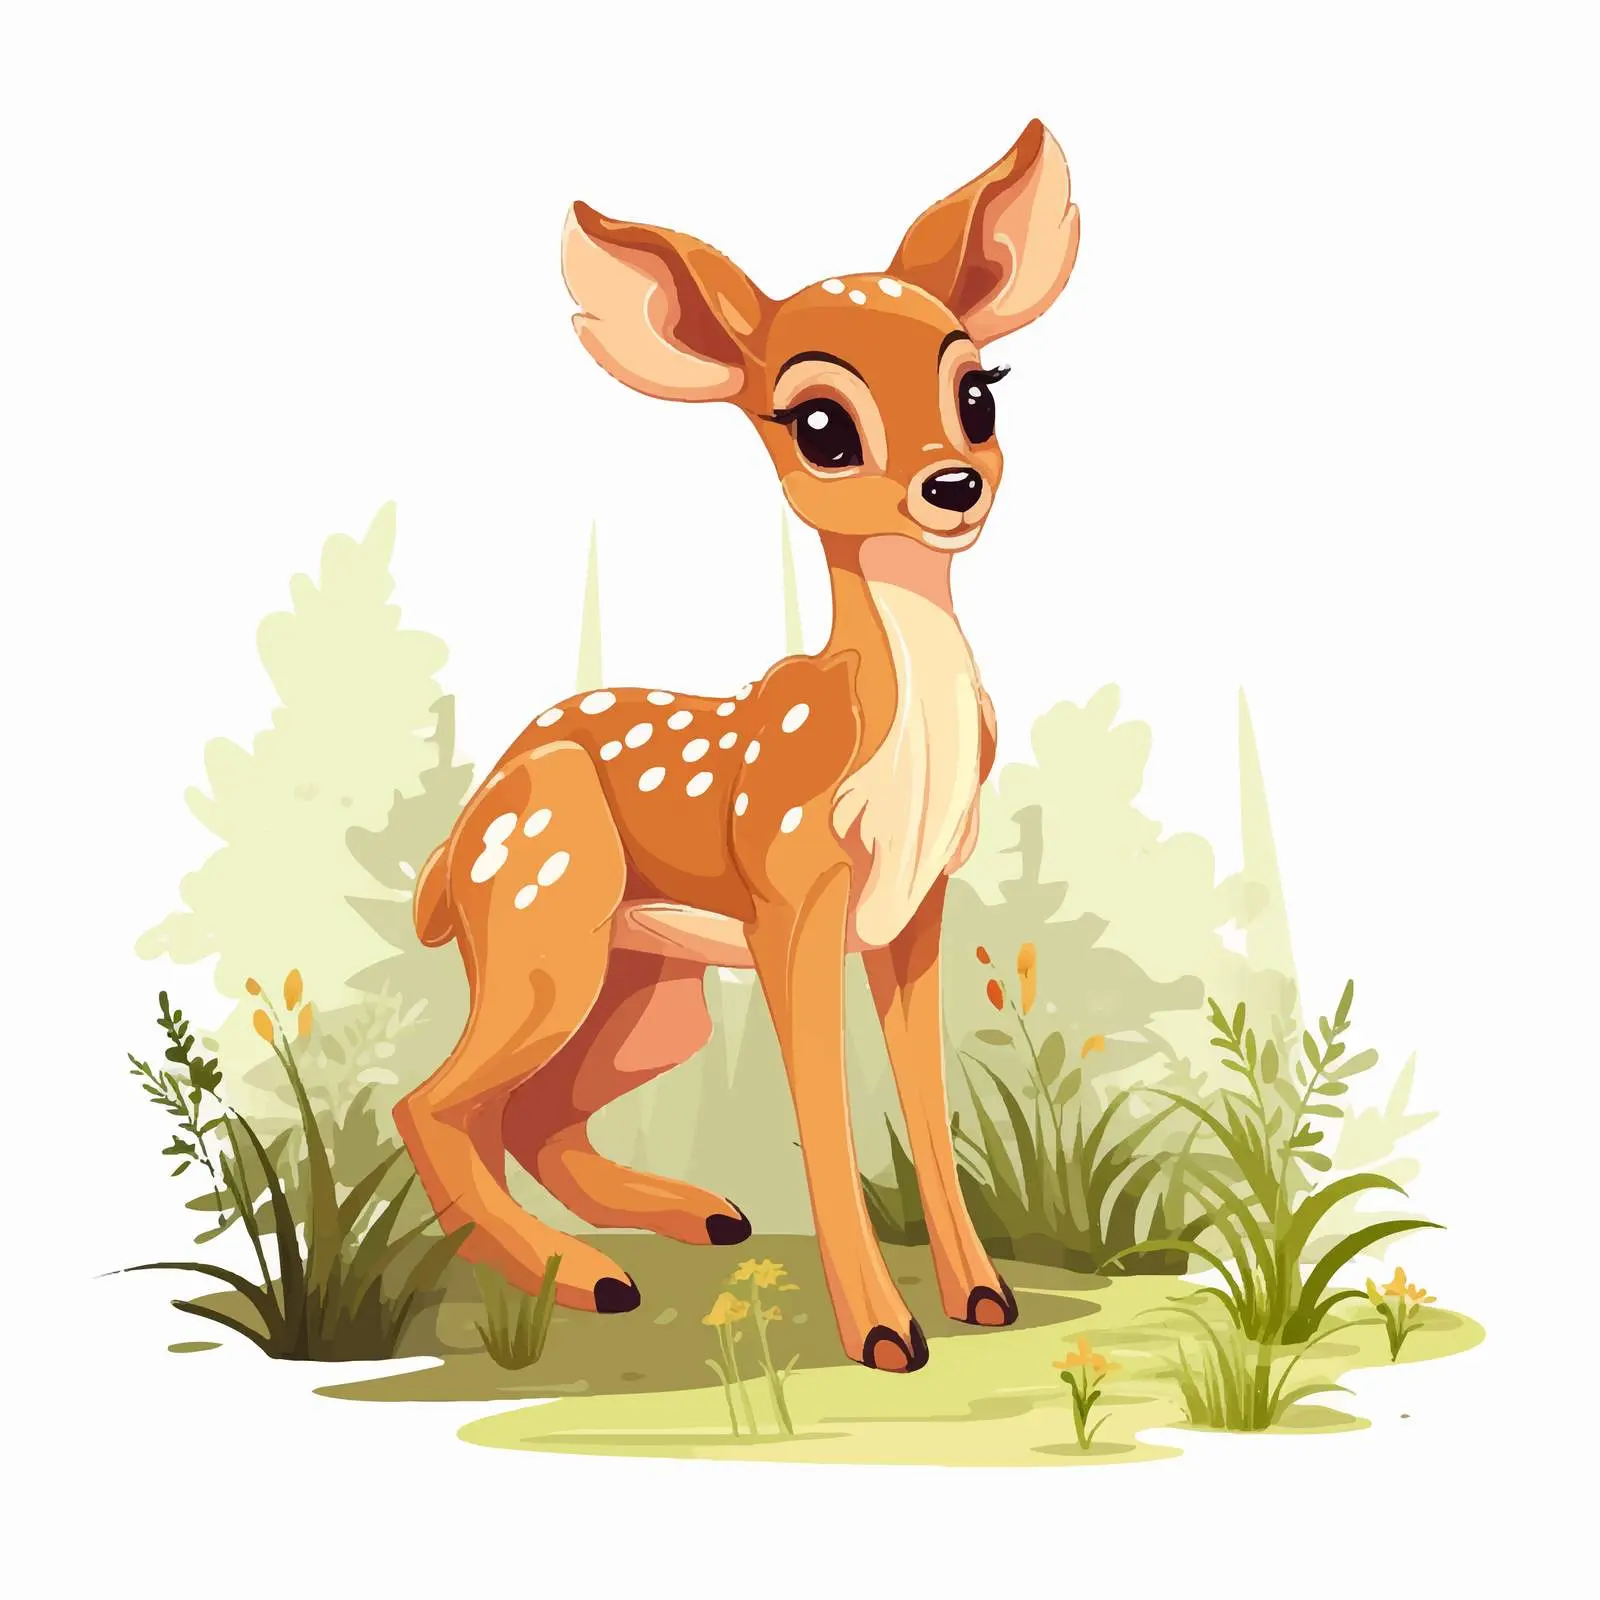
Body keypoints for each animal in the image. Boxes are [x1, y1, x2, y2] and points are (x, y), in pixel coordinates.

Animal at [395, 120, 1080, 1373]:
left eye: (980, 391)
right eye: (818, 423)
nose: (952, 484)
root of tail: (453, 851)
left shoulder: (912, 908)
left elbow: (921, 1095)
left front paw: (983, 1296)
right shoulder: (789, 894)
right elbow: (822, 1105)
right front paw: (884, 1334)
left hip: (648, 988)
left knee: (531, 1110)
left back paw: (689, 1219)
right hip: (545, 918)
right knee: (434, 1102)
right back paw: (586, 1278)